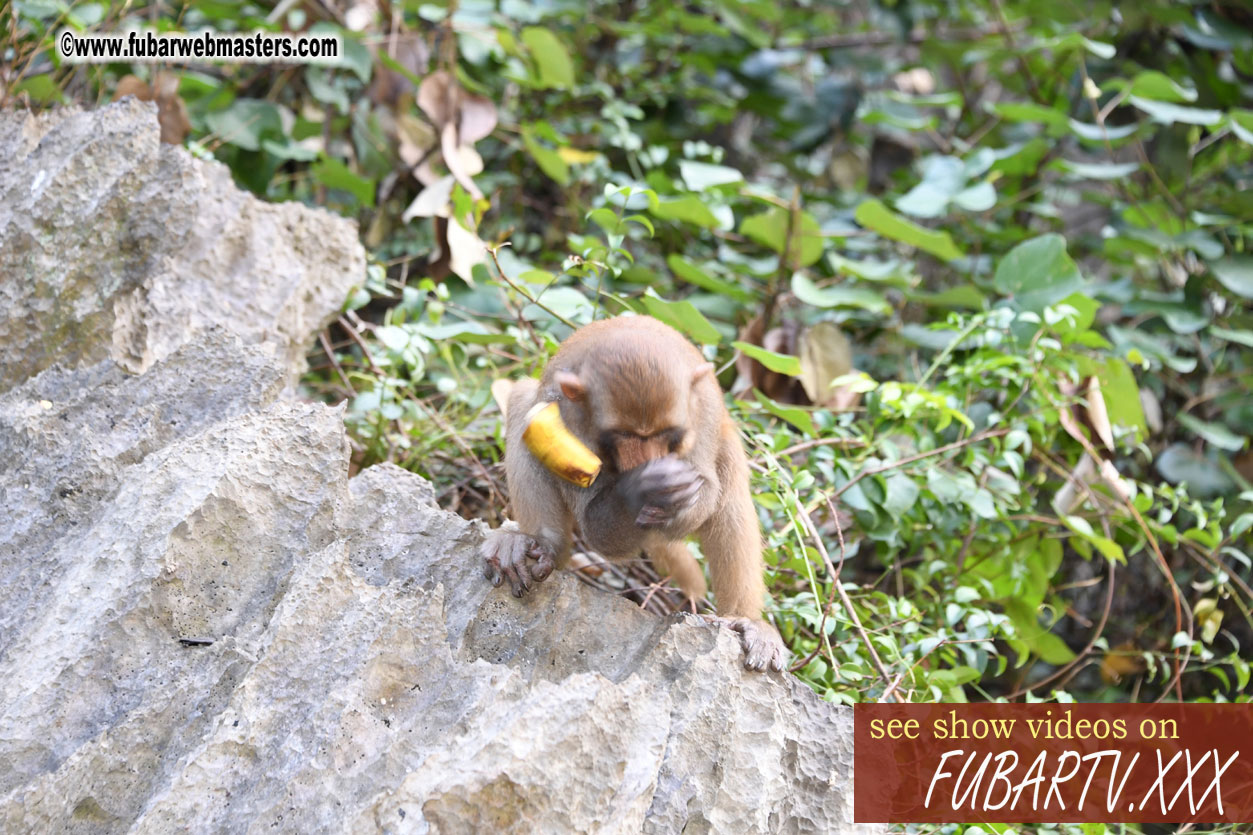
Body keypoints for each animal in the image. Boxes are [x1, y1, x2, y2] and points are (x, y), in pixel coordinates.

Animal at [478, 312, 781, 672]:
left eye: (666, 432)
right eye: (624, 434)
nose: (646, 462)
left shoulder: (704, 414)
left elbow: (706, 493)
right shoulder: (565, 415)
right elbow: (598, 532)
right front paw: (640, 490)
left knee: (730, 485)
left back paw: (743, 619)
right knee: (524, 405)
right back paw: (541, 544)